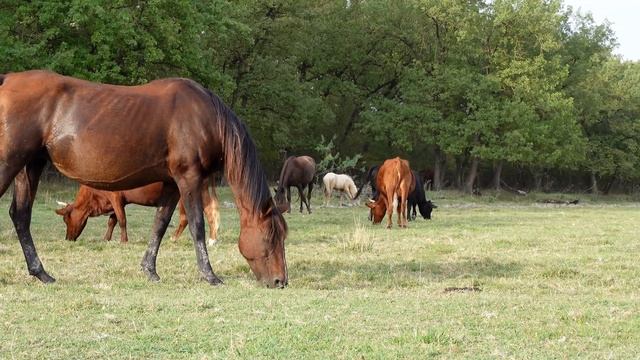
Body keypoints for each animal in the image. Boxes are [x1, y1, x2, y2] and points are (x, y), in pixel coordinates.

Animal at [55, 178, 220, 243]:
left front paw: (124, 241)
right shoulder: (117, 202)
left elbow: (121, 220)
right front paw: (106, 239)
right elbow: (112, 221)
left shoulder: (115, 197)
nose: (67, 239)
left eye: (66, 220)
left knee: (194, 216)